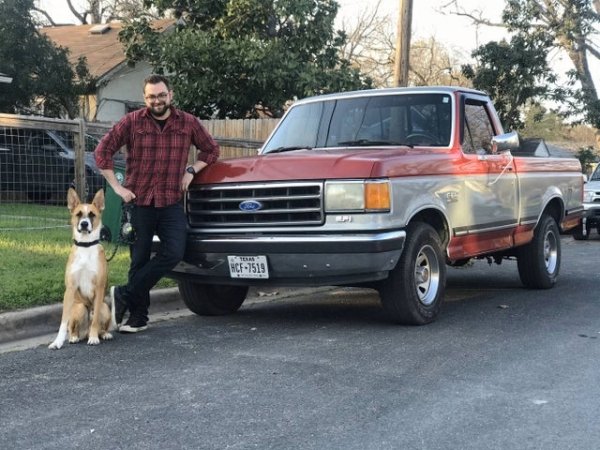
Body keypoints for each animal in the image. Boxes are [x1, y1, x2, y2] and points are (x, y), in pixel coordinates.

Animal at [48, 188, 115, 350]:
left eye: (92, 214)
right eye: (78, 214)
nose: (84, 224)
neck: (86, 246)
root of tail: (85, 332)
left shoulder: (99, 287)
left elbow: (96, 319)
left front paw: (94, 338)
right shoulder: (70, 288)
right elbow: (63, 322)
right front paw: (57, 342)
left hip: (104, 307)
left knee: (99, 322)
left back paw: (102, 334)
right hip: (79, 308)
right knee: (74, 328)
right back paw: (74, 337)